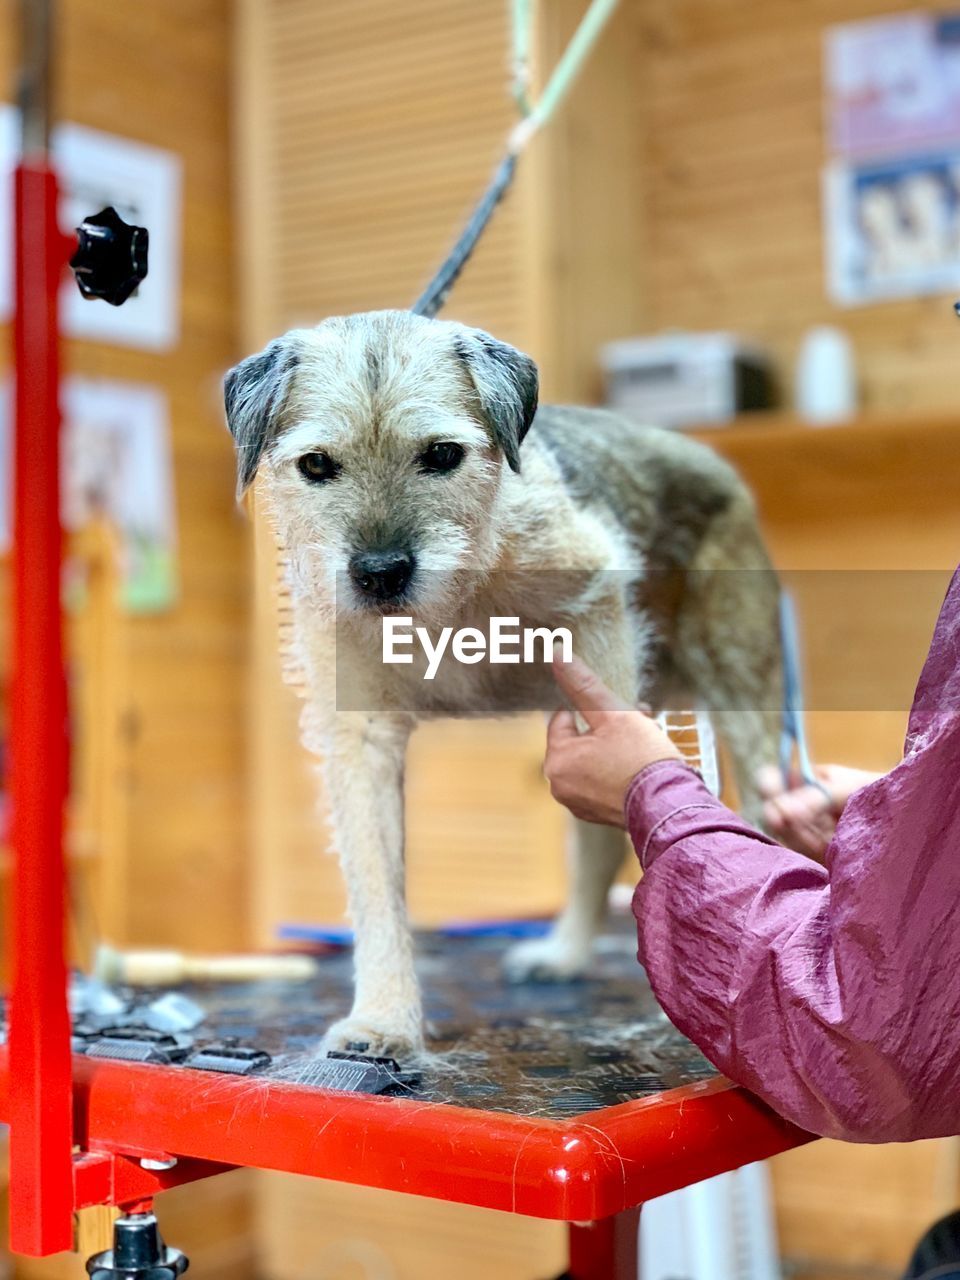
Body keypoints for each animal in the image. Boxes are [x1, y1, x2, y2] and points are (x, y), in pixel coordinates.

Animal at [225, 309, 783, 1059]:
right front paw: (384, 1019)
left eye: (441, 455)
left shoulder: (599, 631)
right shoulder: (360, 741)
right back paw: (566, 952)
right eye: (316, 465)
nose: (380, 572)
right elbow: (376, 888)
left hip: (738, 689)